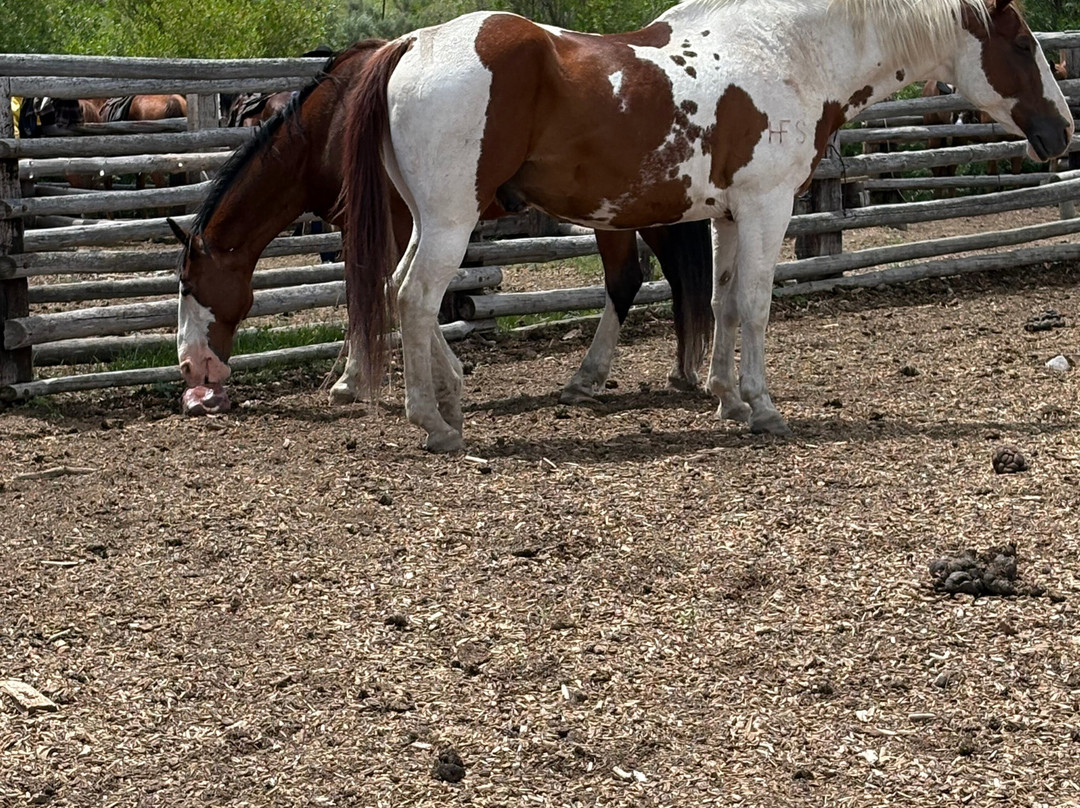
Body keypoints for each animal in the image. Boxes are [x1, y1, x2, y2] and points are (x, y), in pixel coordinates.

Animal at [171, 40, 713, 416]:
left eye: (189, 285)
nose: (191, 372)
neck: (331, 125)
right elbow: (384, 289)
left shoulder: (386, 222)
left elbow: (377, 290)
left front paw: (355, 381)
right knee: (669, 275)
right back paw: (681, 370)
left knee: (628, 280)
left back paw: (592, 378)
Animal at [337, 0, 1072, 453]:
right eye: (1025, 43)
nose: (1061, 131)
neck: (788, 52)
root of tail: (409, 43)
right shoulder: (768, 206)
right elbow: (756, 304)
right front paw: (762, 407)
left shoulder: (731, 215)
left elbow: (723, 303)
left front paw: (727, 400)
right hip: (451, 220)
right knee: (416, 297)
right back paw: (433, 422)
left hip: (427, 220)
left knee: (398, 290)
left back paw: (453, 394)